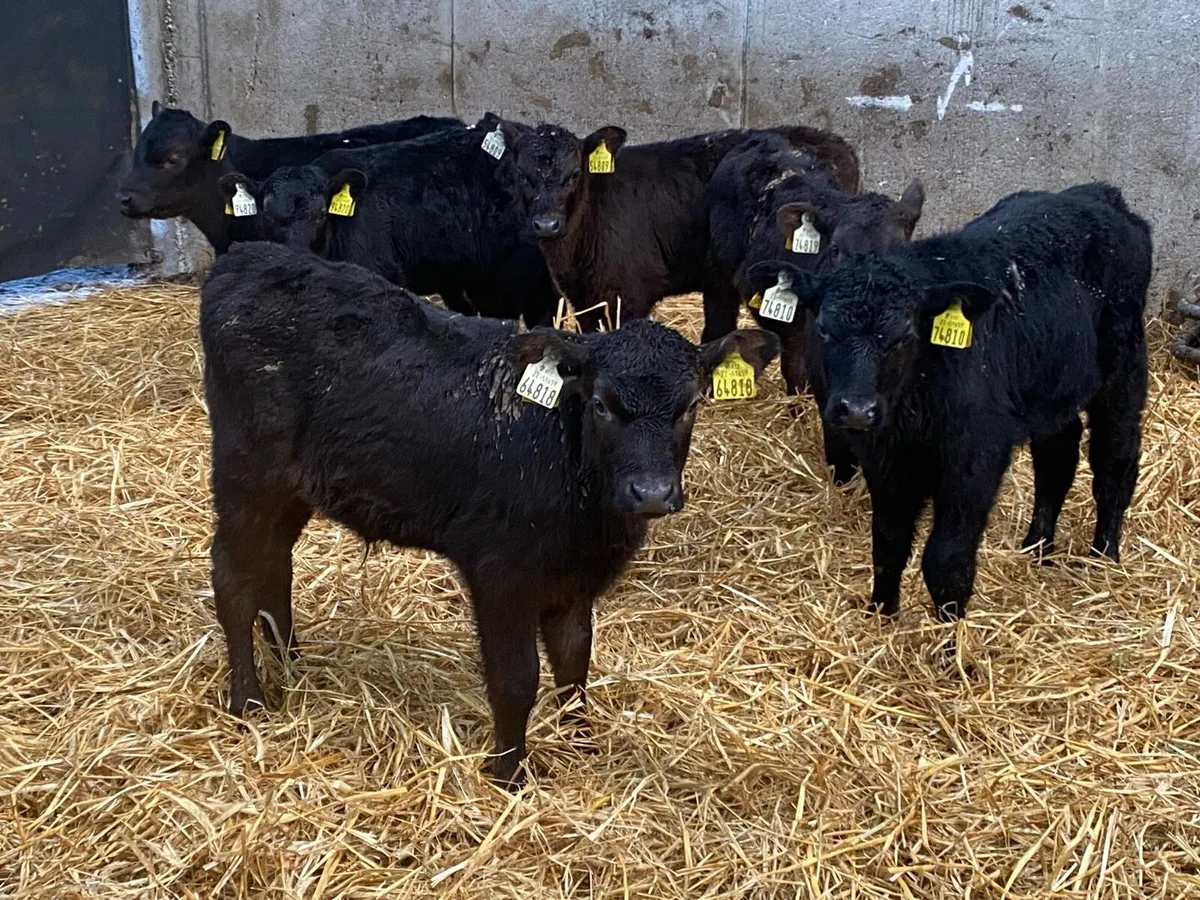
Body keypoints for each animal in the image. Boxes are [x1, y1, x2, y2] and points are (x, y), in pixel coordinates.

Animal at [200, 241, 779, 786]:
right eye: (600, 404)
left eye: (691, 406)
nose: (652, 493)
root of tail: (248, 257)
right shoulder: (501, 573)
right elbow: (517, 678)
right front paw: (509, 774)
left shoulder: (573, 579)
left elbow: (575, 660)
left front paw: (581, 741)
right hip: (245, 478)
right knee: (234, 579)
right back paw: (247, 699)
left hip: (288, 492)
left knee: (274, 569)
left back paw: (294, 666)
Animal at [496, 119, 860, 330]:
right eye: (521, 176)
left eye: (573, 175)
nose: (546, 224)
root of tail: (836, 142)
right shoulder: (585, 302)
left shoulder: (628, 296)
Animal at [748, 183, 1150, 628]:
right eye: (823, 328)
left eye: (903, 335)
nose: (856, 409)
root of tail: (1097, 194)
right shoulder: (886, 458)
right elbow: (887, 543)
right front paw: (881, 614)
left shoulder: (974, 458)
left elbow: (946, 558)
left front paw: (950, 635)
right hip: (1052, 388)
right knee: (1057, 458)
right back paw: (1037, 547)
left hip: (1124, 368)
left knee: (1115, 460)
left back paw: (1104, 557)